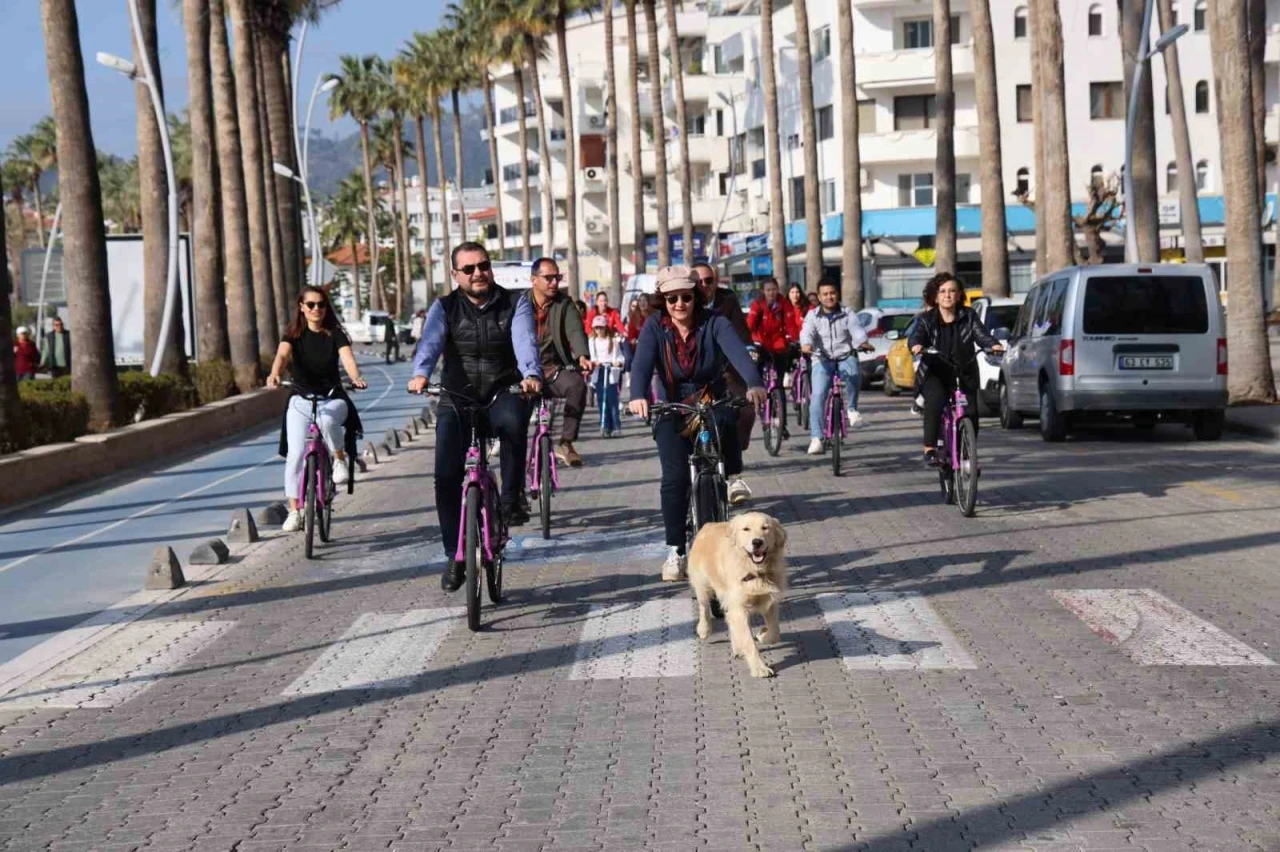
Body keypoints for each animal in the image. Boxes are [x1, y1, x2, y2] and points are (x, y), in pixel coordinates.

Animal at [686, 511, 787, 678]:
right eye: (746, 529)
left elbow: (775, 632)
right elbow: (749, 641)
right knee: (704, 606)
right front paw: (759, 668)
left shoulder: (770, 601)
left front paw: (762, 635)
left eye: (765, 528)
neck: (755, 572)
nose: (757, 542)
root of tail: (708, 525)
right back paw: (704, 629)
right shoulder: (739, 606)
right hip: (702, 583)